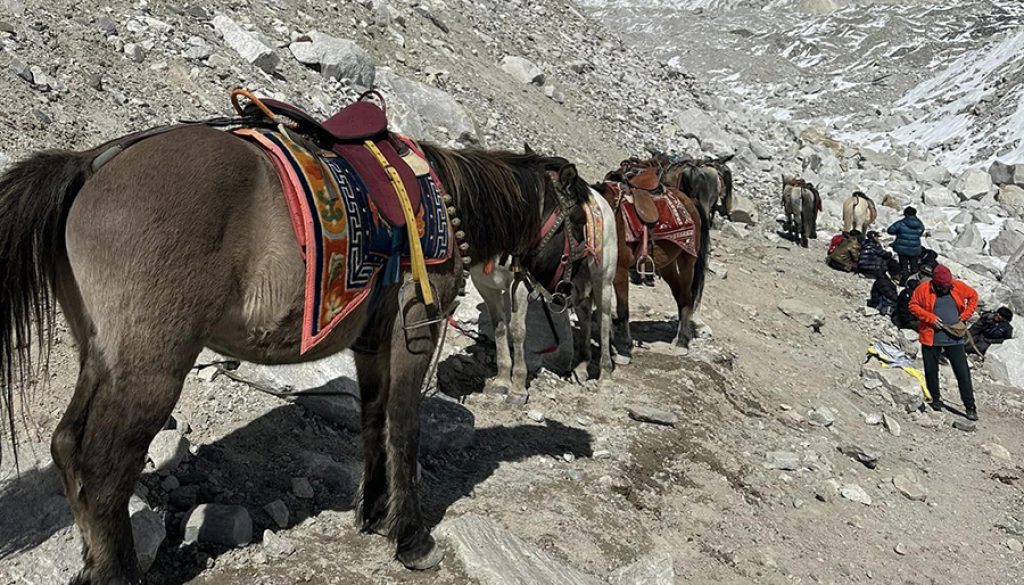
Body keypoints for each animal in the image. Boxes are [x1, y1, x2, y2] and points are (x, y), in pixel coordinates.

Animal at [0, 119, 579, 583]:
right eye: (580, 222)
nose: (567, 292)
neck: (443, 200)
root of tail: (91, 164)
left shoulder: (370, 344)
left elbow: (372, 419)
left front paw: (373, 513)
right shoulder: (413, 333)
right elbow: (404, 426)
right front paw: (411, 539)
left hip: (102, 355)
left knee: (68, 447)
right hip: (151, 369)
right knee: (102, 466)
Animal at [469, 158, 617, 395]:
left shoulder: (520, 284)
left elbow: (517, 330)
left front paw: (518, 386)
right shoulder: (485, 286)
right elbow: (500, 328)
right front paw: (502, 380)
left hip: (603, 280)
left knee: (603, 320)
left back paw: (605, 377)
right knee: (585, 315)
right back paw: (581, 367)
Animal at [595, 164, 711, 363]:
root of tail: (690, 200)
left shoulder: (619, 270)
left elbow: (622, 309)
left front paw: (623, 349)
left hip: (687, 260)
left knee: (686, 297)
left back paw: (681, 343)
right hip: (667, 266)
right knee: (679, 295)